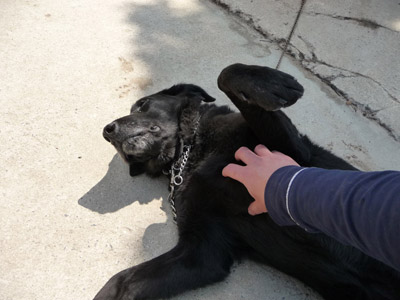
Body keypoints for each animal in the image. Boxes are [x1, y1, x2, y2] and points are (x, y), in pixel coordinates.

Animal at [95, 63, 398, 300]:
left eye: (142, 104)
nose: (107, 131)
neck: (193, 150)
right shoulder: (203, 252)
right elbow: (120, 283)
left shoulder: (294, 155)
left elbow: (226, 74)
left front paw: (273, 86)